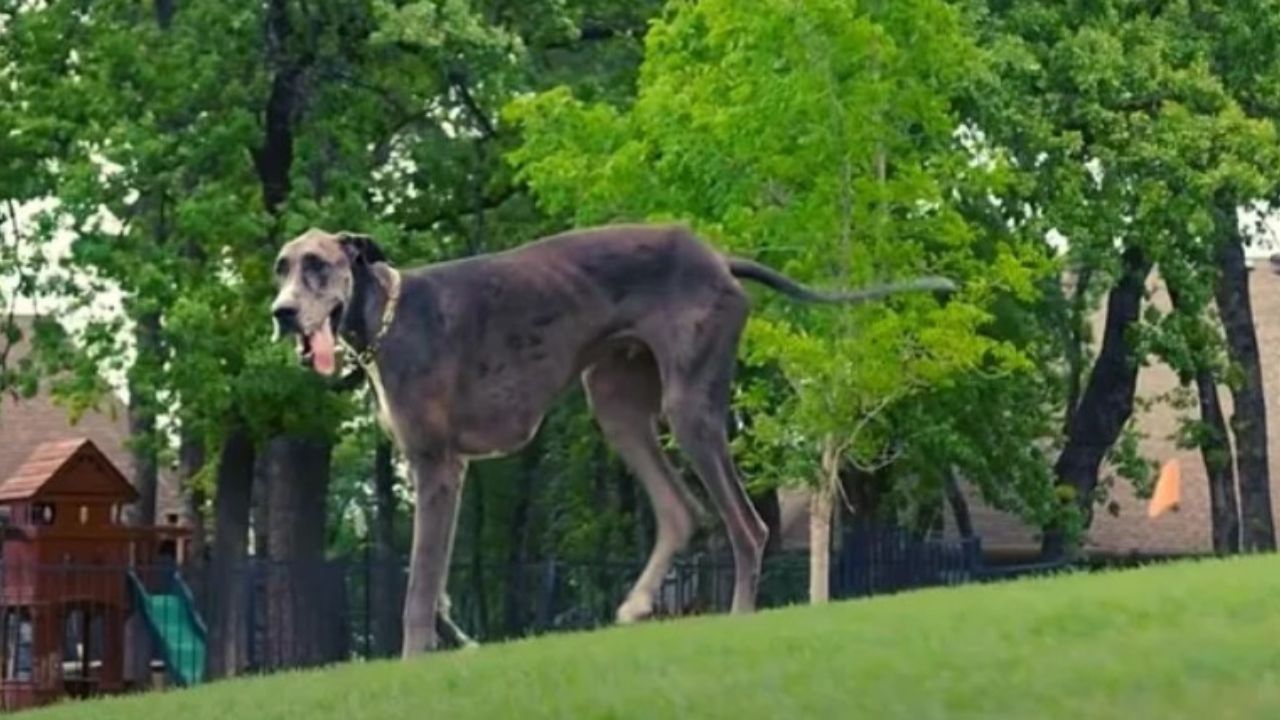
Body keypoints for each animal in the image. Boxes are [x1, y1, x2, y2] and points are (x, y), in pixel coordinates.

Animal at [270, 221, 952, 653]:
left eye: (319, 266)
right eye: (281, 268)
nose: (281, 313)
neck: (388, 315)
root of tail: (716, 256)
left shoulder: (439, 466)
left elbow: (418, 590)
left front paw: (414, 665)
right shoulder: (433, 471)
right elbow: (433, 589)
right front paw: (459, 642)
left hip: (689, 410)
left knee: (746, 527)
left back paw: (735, 620)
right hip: (617, 402)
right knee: (681, 511)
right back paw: (635, 605)